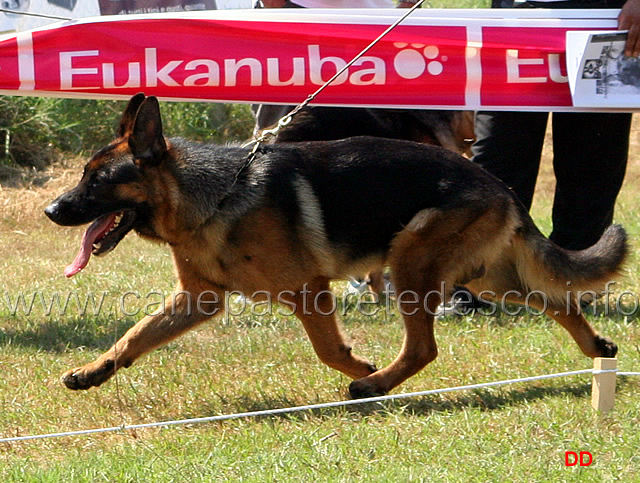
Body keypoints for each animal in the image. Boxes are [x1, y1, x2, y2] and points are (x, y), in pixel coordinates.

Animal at [45, 93, 624, 398]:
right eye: (84, 176)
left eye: (98, 182)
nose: (51, 210)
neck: (213, 198)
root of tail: (498, 185)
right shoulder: (197, 300)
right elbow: (134, 336)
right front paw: (94, 371)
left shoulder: (308, 289)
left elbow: (327, 348)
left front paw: (361, 369)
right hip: (481, 276)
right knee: (555, 299)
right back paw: (596, 349)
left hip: (413, 264)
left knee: (425, 347)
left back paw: (375, 386)